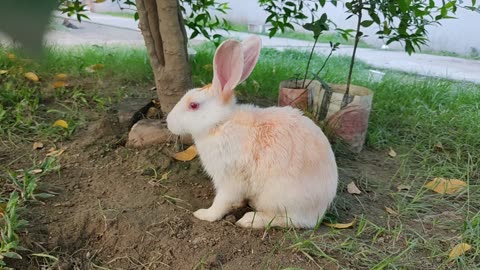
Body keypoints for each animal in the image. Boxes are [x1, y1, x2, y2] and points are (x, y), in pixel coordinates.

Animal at [167, 34, 340, 228]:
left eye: (193, 105)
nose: (168, 121)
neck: (220, 123)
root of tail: (320, 208)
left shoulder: (230, 179)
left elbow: (221, 202)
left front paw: (204, 215)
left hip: (279, 198)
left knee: (289, 220)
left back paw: (249, 220)